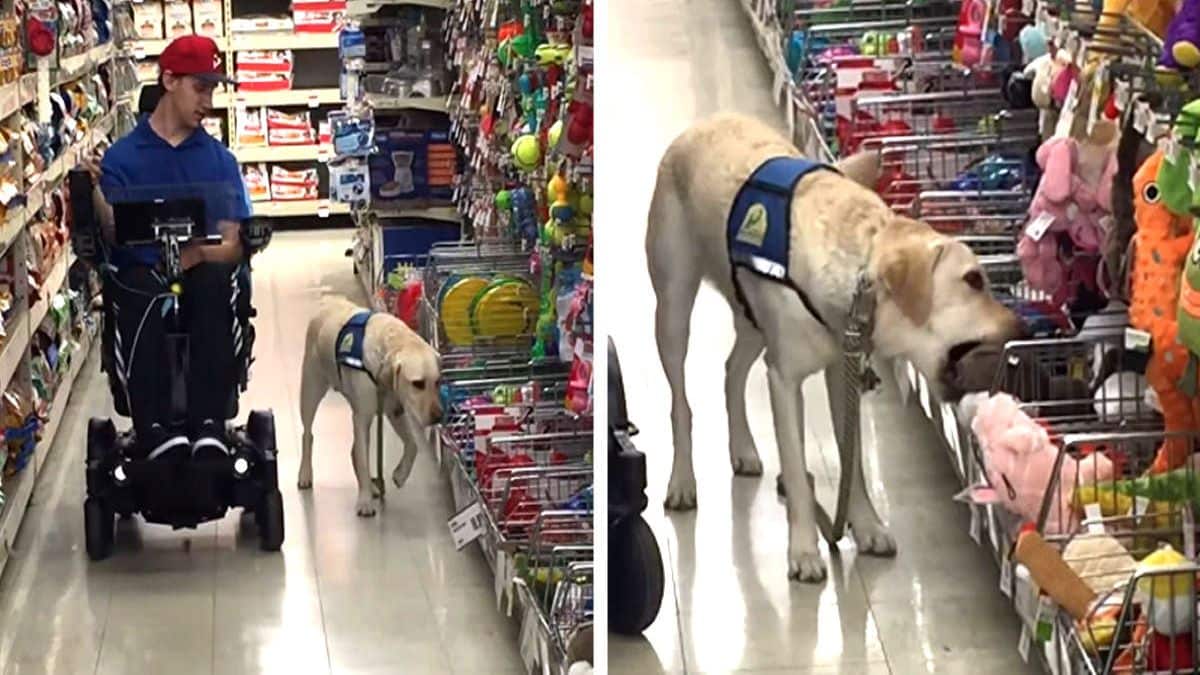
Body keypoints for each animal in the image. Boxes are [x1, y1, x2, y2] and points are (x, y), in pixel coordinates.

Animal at [300, 295, 446, 514]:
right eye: (418, 383)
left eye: (438, 382)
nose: (439, 416)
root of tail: (329, 300)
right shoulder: (362, 417)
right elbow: (363, 460)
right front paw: (365, 501)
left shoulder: (396, 411)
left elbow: (412, 445)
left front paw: (400, 474)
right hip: (311, 389)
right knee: (308, 435)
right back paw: (305, 474)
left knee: (353, 450)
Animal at [648, 114, 1022, 578]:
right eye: (973, 280)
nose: (1023, 324)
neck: (859, 280)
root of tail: (705, 123)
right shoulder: (784, 381)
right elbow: (795, 466)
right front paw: (804, 550)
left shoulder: (842, 375)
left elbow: (853, 463)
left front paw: (866, 526)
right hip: (673, 307)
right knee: (680, 402)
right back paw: (682, 480)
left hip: (752, 317)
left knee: (732, 371)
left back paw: (743, 448)